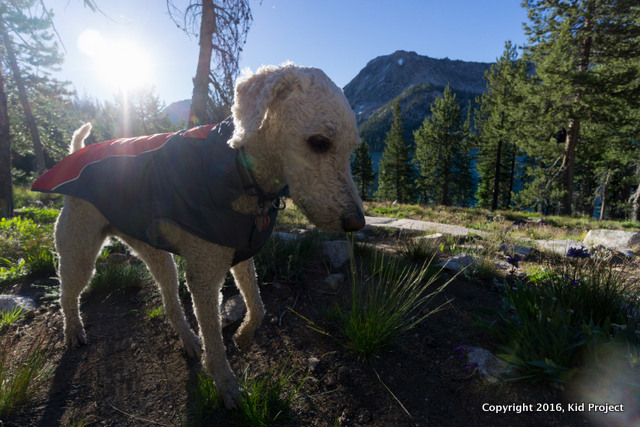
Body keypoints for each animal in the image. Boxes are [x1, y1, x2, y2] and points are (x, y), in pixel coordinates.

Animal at [31, 63, 365, 409]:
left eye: (353, 148)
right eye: (319, 142)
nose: (357, 222)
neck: (240, 170)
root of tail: (77, 152)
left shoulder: (239, 254)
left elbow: (258, 306)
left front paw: (244, 336)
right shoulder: (205, 275)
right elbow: (215, 340)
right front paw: (226, 384)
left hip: (156, 254)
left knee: (169, 302)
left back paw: (190, 341)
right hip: (79, 249)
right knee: (67, 295)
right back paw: (73, 331)